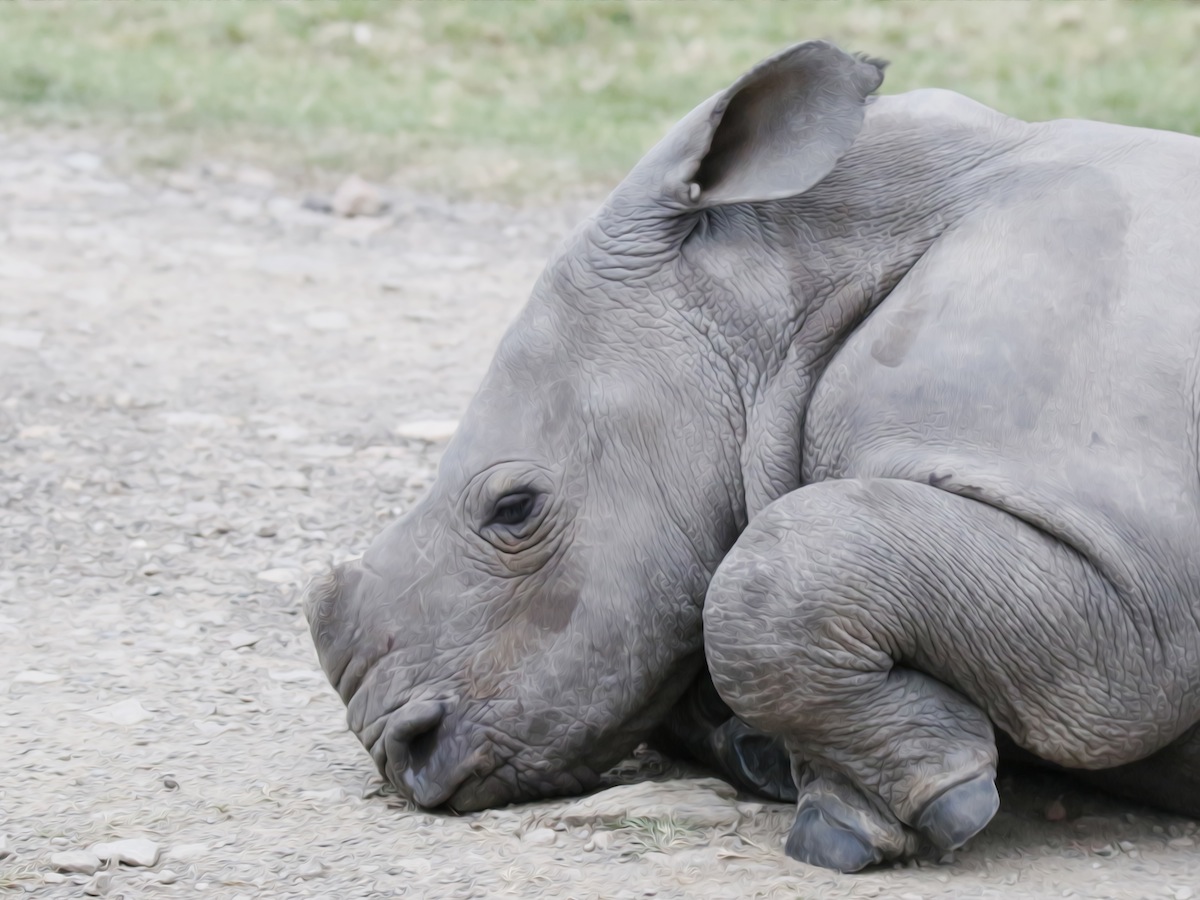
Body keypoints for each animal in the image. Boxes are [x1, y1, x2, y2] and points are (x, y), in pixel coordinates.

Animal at [302, 42, 1200, 873]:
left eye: (514, 509)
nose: (404, 756)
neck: (793, 281)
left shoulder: (1134, 589)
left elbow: (766, 579)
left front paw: (871, 820)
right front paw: (774, 763)